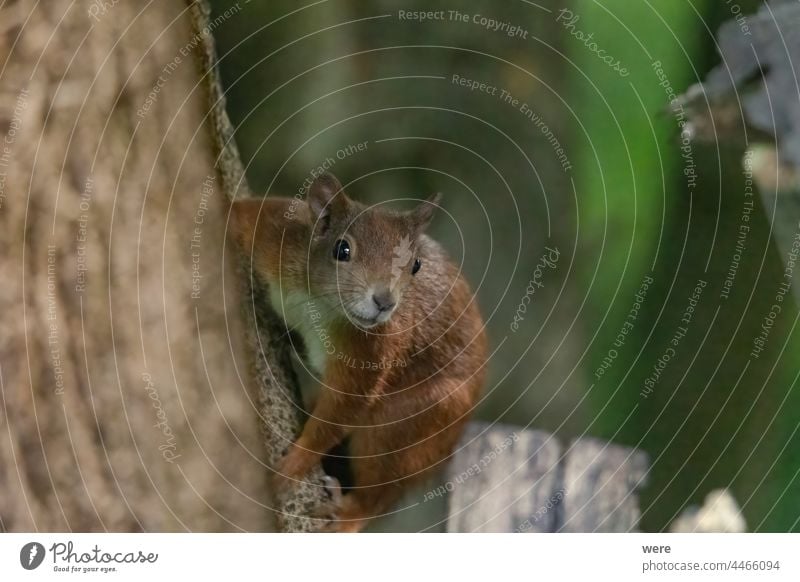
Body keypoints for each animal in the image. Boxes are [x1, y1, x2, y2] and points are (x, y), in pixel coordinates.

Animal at [228, 172, 484, 532]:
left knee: (380, 488)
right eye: (342, 249)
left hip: (412, 422)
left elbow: (341, 411)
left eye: (416, 265)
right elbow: (241, 216)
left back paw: (348, 515)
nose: (384, 302)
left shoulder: (373, 350)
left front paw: (292, 466)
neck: (321, 302)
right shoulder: (277, 236)